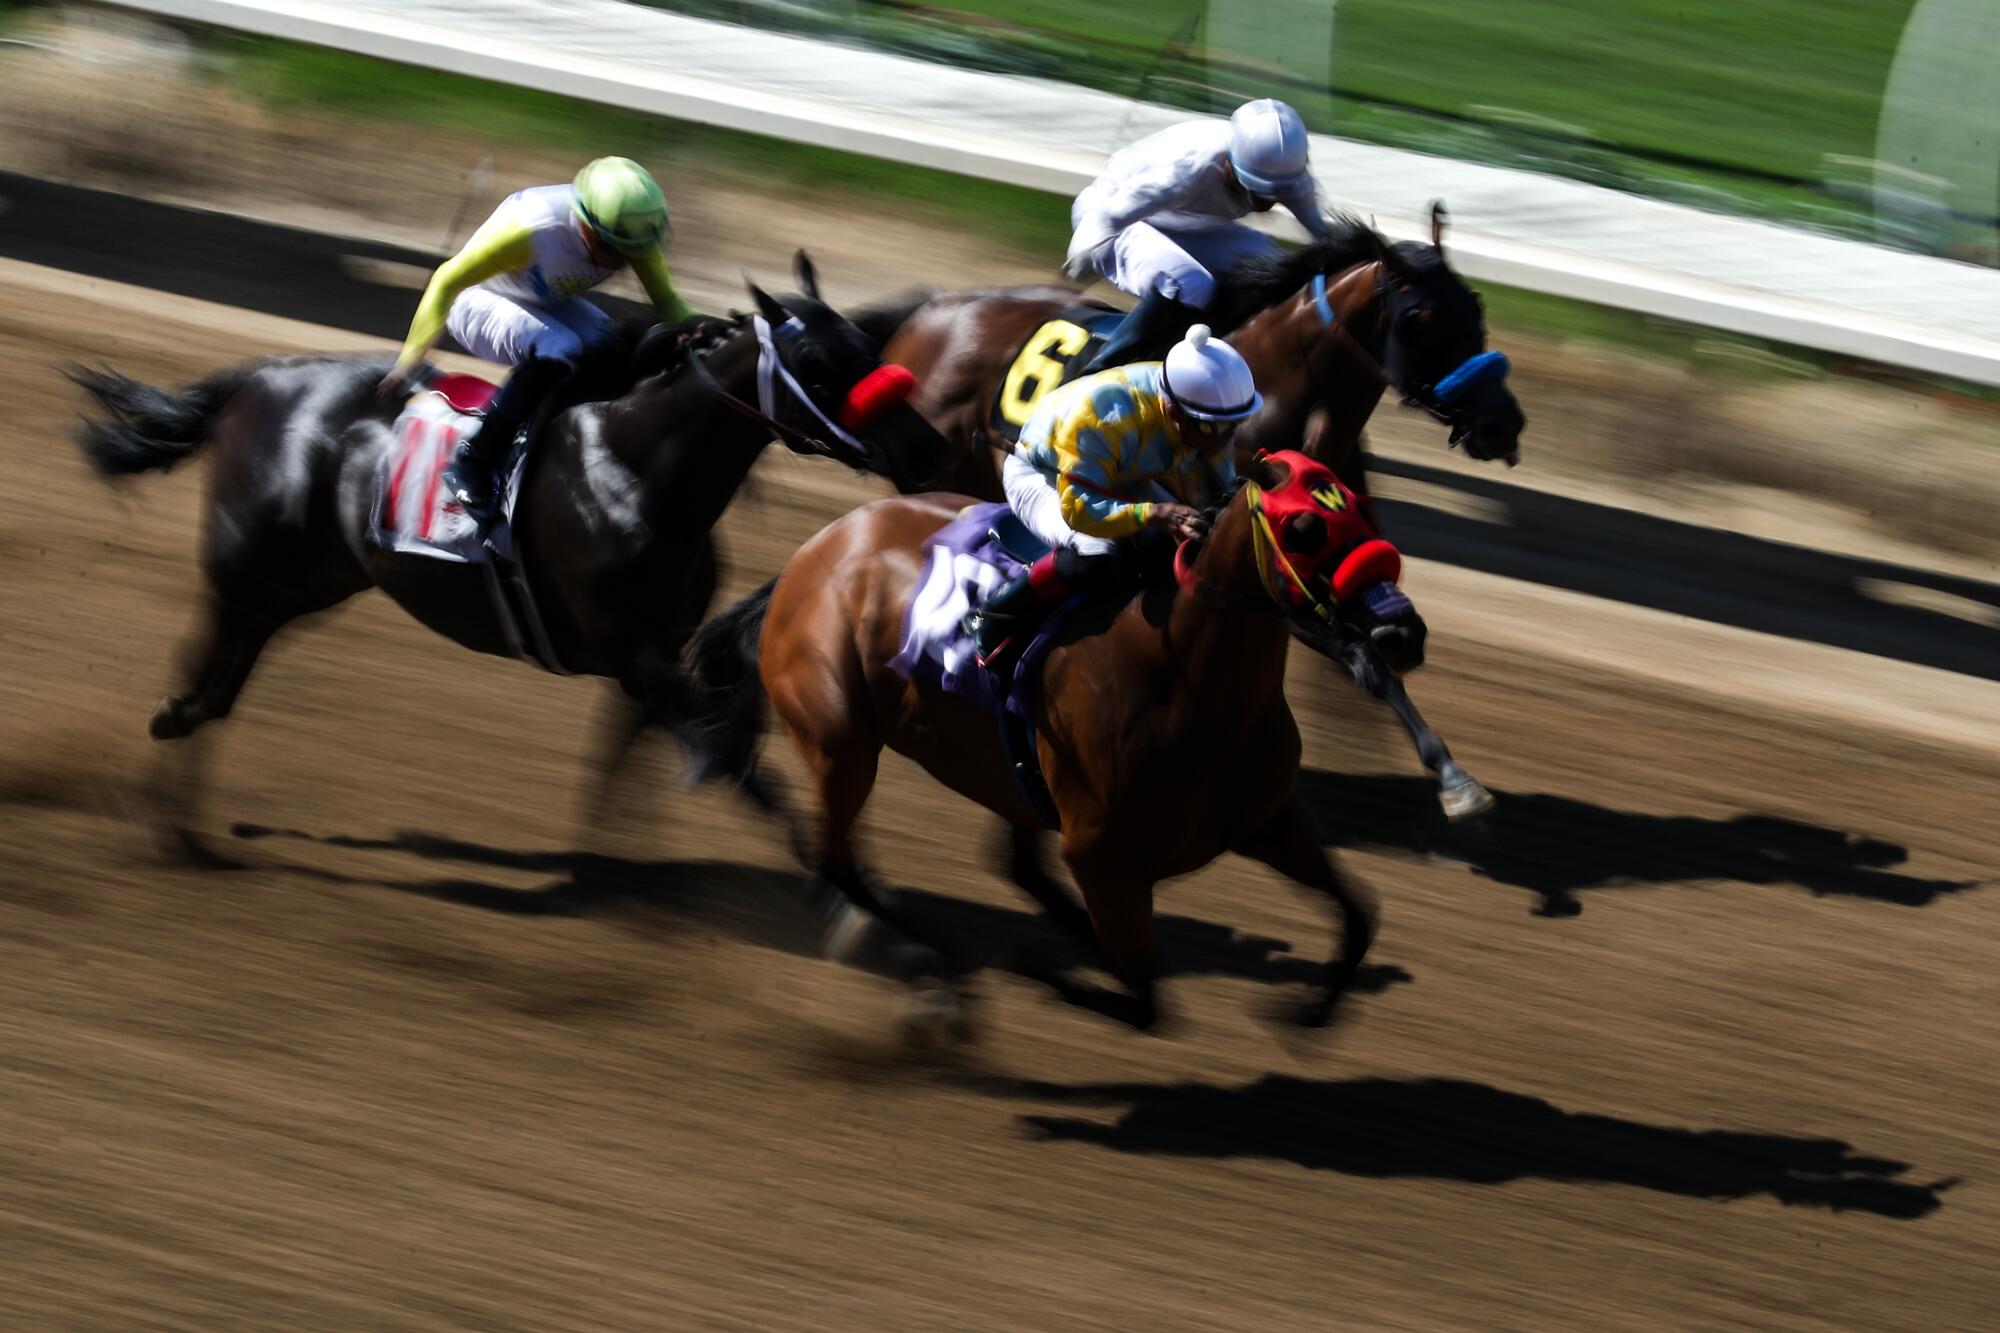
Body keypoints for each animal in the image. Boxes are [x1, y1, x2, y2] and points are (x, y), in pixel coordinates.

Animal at [72, 254, 952, 844]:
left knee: (232, 666)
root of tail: (255, 378)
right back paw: (169, 789)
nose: (929, 448)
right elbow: (733, 755)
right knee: (205, 649)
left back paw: (183, 785)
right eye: (818, 360)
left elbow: (625, 767)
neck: (637, 471)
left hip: (316, 576)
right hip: (246, 559)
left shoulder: (652, 658)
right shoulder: (637, 656)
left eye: (869, 341)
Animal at [688, 452, 1392, 1032]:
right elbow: (1146, 1000)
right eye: (1305, 528)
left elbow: (1360, 915)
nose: (1399, 626)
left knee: (1013, 865)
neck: (1181, 679)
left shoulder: (1265, 820)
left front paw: (1307, 1010)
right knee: (835, 862)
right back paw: (939, 967)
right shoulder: (1103, 860)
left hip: (1008, 776)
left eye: (1361, 508)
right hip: (842, 744)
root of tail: (807, 558)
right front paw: (1034, 967)